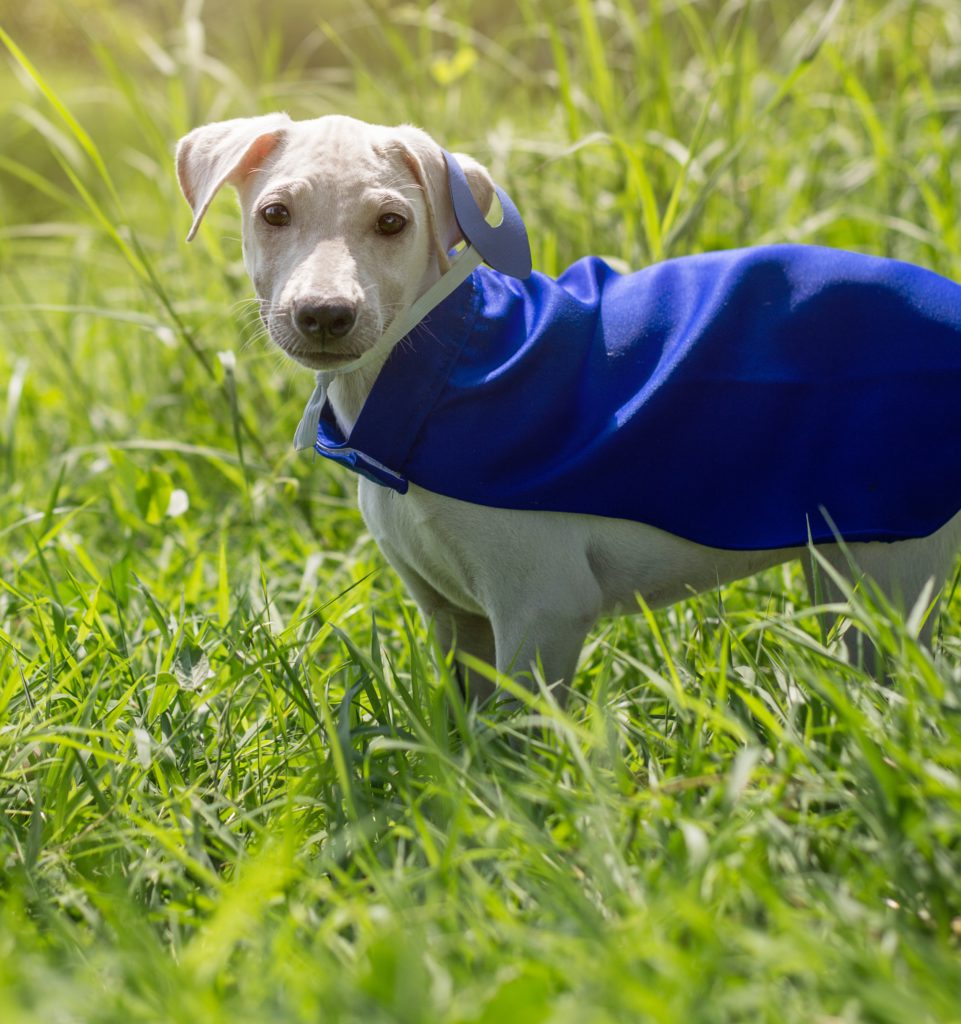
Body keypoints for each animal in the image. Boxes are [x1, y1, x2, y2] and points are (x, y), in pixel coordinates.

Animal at [176, 114, 958, 704]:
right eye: (274, 214)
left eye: (393, 222)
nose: (324, 315)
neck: (429, 372)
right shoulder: (453, 617)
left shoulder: (541, 607)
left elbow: (513, 741)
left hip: (892, 569)